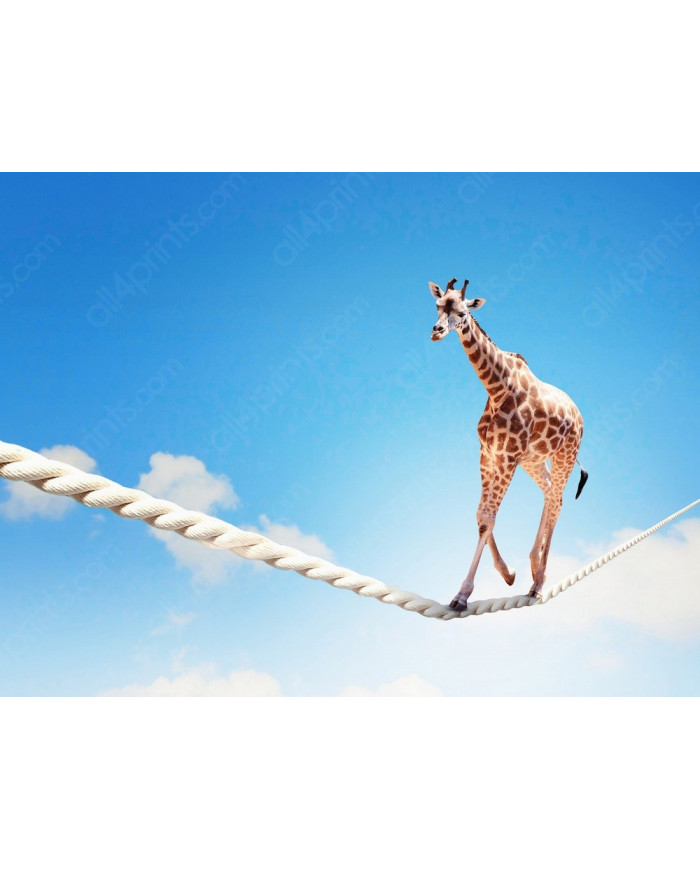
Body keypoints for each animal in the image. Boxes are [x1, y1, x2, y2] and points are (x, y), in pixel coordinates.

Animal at [428, 277, 588, 611]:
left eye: (462, 312)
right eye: (437, 305)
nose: (436, 331)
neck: (496, 387)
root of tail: (579, 415)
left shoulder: (508, 457)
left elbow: (487, 519)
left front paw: (462, 594)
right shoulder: (488, 454)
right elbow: (480, 515)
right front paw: (509, 573)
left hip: (565, 455)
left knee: (557, 501)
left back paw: (539, 583)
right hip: (535, 461)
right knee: (552, 495)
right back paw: (533, 566)